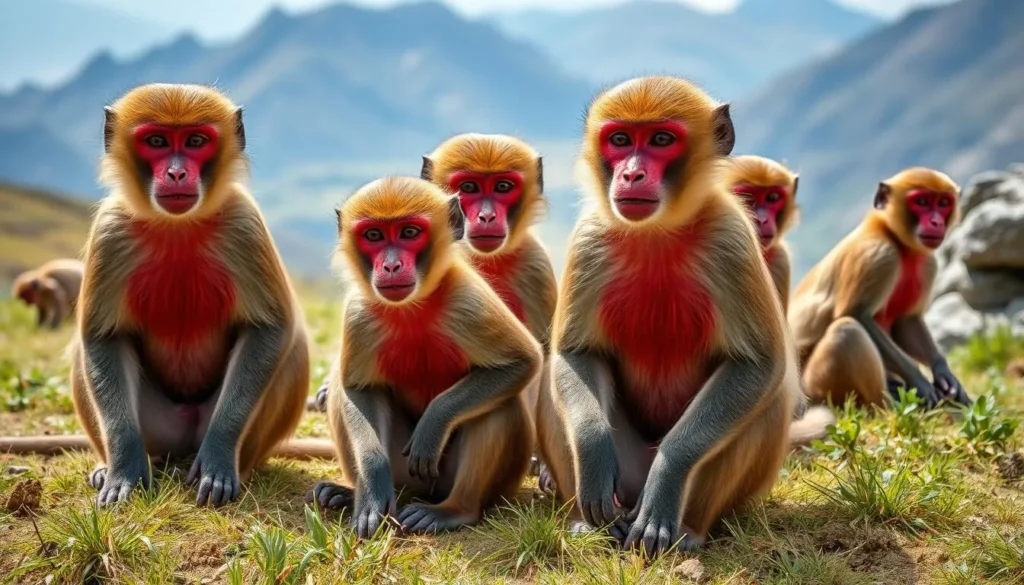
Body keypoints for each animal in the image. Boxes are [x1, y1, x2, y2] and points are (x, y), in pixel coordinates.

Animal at [0, 84, 314, 508]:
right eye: (157, 142)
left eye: (195, 141)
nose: (176, 172)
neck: (176, 226)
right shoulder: (110, 231)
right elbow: (103, 338)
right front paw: (124, 470)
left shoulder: (244, 224)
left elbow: (271, 329)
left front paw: (218, 458)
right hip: (158, 427)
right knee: (84, 353)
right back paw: (109, 464)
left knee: (294, 348)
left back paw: (238, 467)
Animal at [308, 176, 541, 538]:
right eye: (373, 235)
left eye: (409, 233)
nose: (391, 266)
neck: (411, 308)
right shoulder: (359, 314)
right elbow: (359, 390)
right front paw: (371, 489)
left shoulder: (467, 298)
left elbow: (520, 363)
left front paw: (434, 422)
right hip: (405, 475)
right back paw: (347, 492)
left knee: (501, 403)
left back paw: (453, 510)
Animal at [789, 167, 972, 410]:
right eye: (922, 202)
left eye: (943, 202)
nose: (935, 222)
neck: (894, 239)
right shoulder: (878, 256)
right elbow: (857, 315)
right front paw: (919, 380)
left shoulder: (928, 264)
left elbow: (907, 321)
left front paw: (943, 372)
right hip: (814, 388)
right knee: (847, 331)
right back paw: (888, 406)